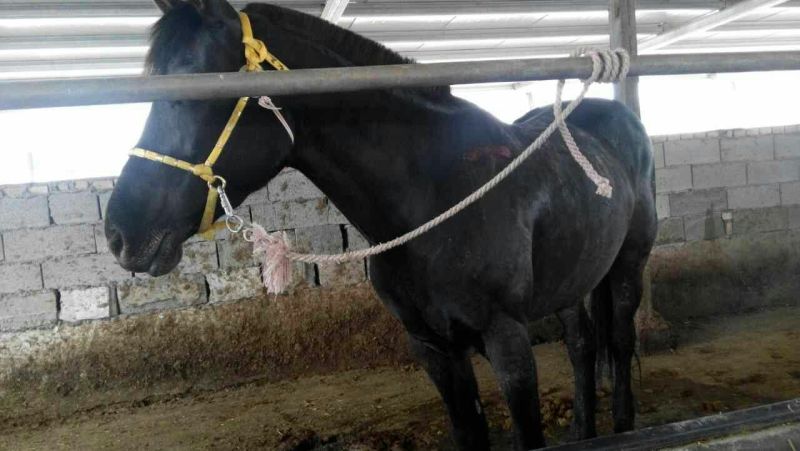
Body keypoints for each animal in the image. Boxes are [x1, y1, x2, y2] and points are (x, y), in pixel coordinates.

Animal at [104, 1, 658, 449]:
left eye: (198, 86)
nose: (120, 233)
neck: (434, 197)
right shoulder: (433, 350)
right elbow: (469, 432)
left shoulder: (509, 343)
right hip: (572, 278)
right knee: (582, 347)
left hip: (628, 267)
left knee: (619, 342)